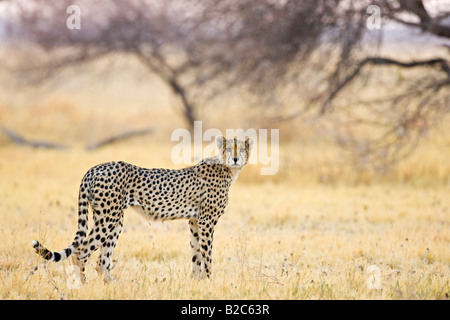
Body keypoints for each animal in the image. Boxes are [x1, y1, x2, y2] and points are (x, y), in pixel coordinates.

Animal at [32, 136, 253, 282]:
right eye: (229, 149)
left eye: (241, 149)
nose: (235, 158)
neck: (227, 169)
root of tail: (95, 167)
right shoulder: (207, 221)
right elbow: (207, 254)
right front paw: (208, 280)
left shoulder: (194, 221)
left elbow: (195, 252)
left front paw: (194, 281)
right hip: (108, 219)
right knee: (80, 253)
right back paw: (83, 286)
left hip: (114, 220)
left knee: (101, 259)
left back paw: (113, 285)